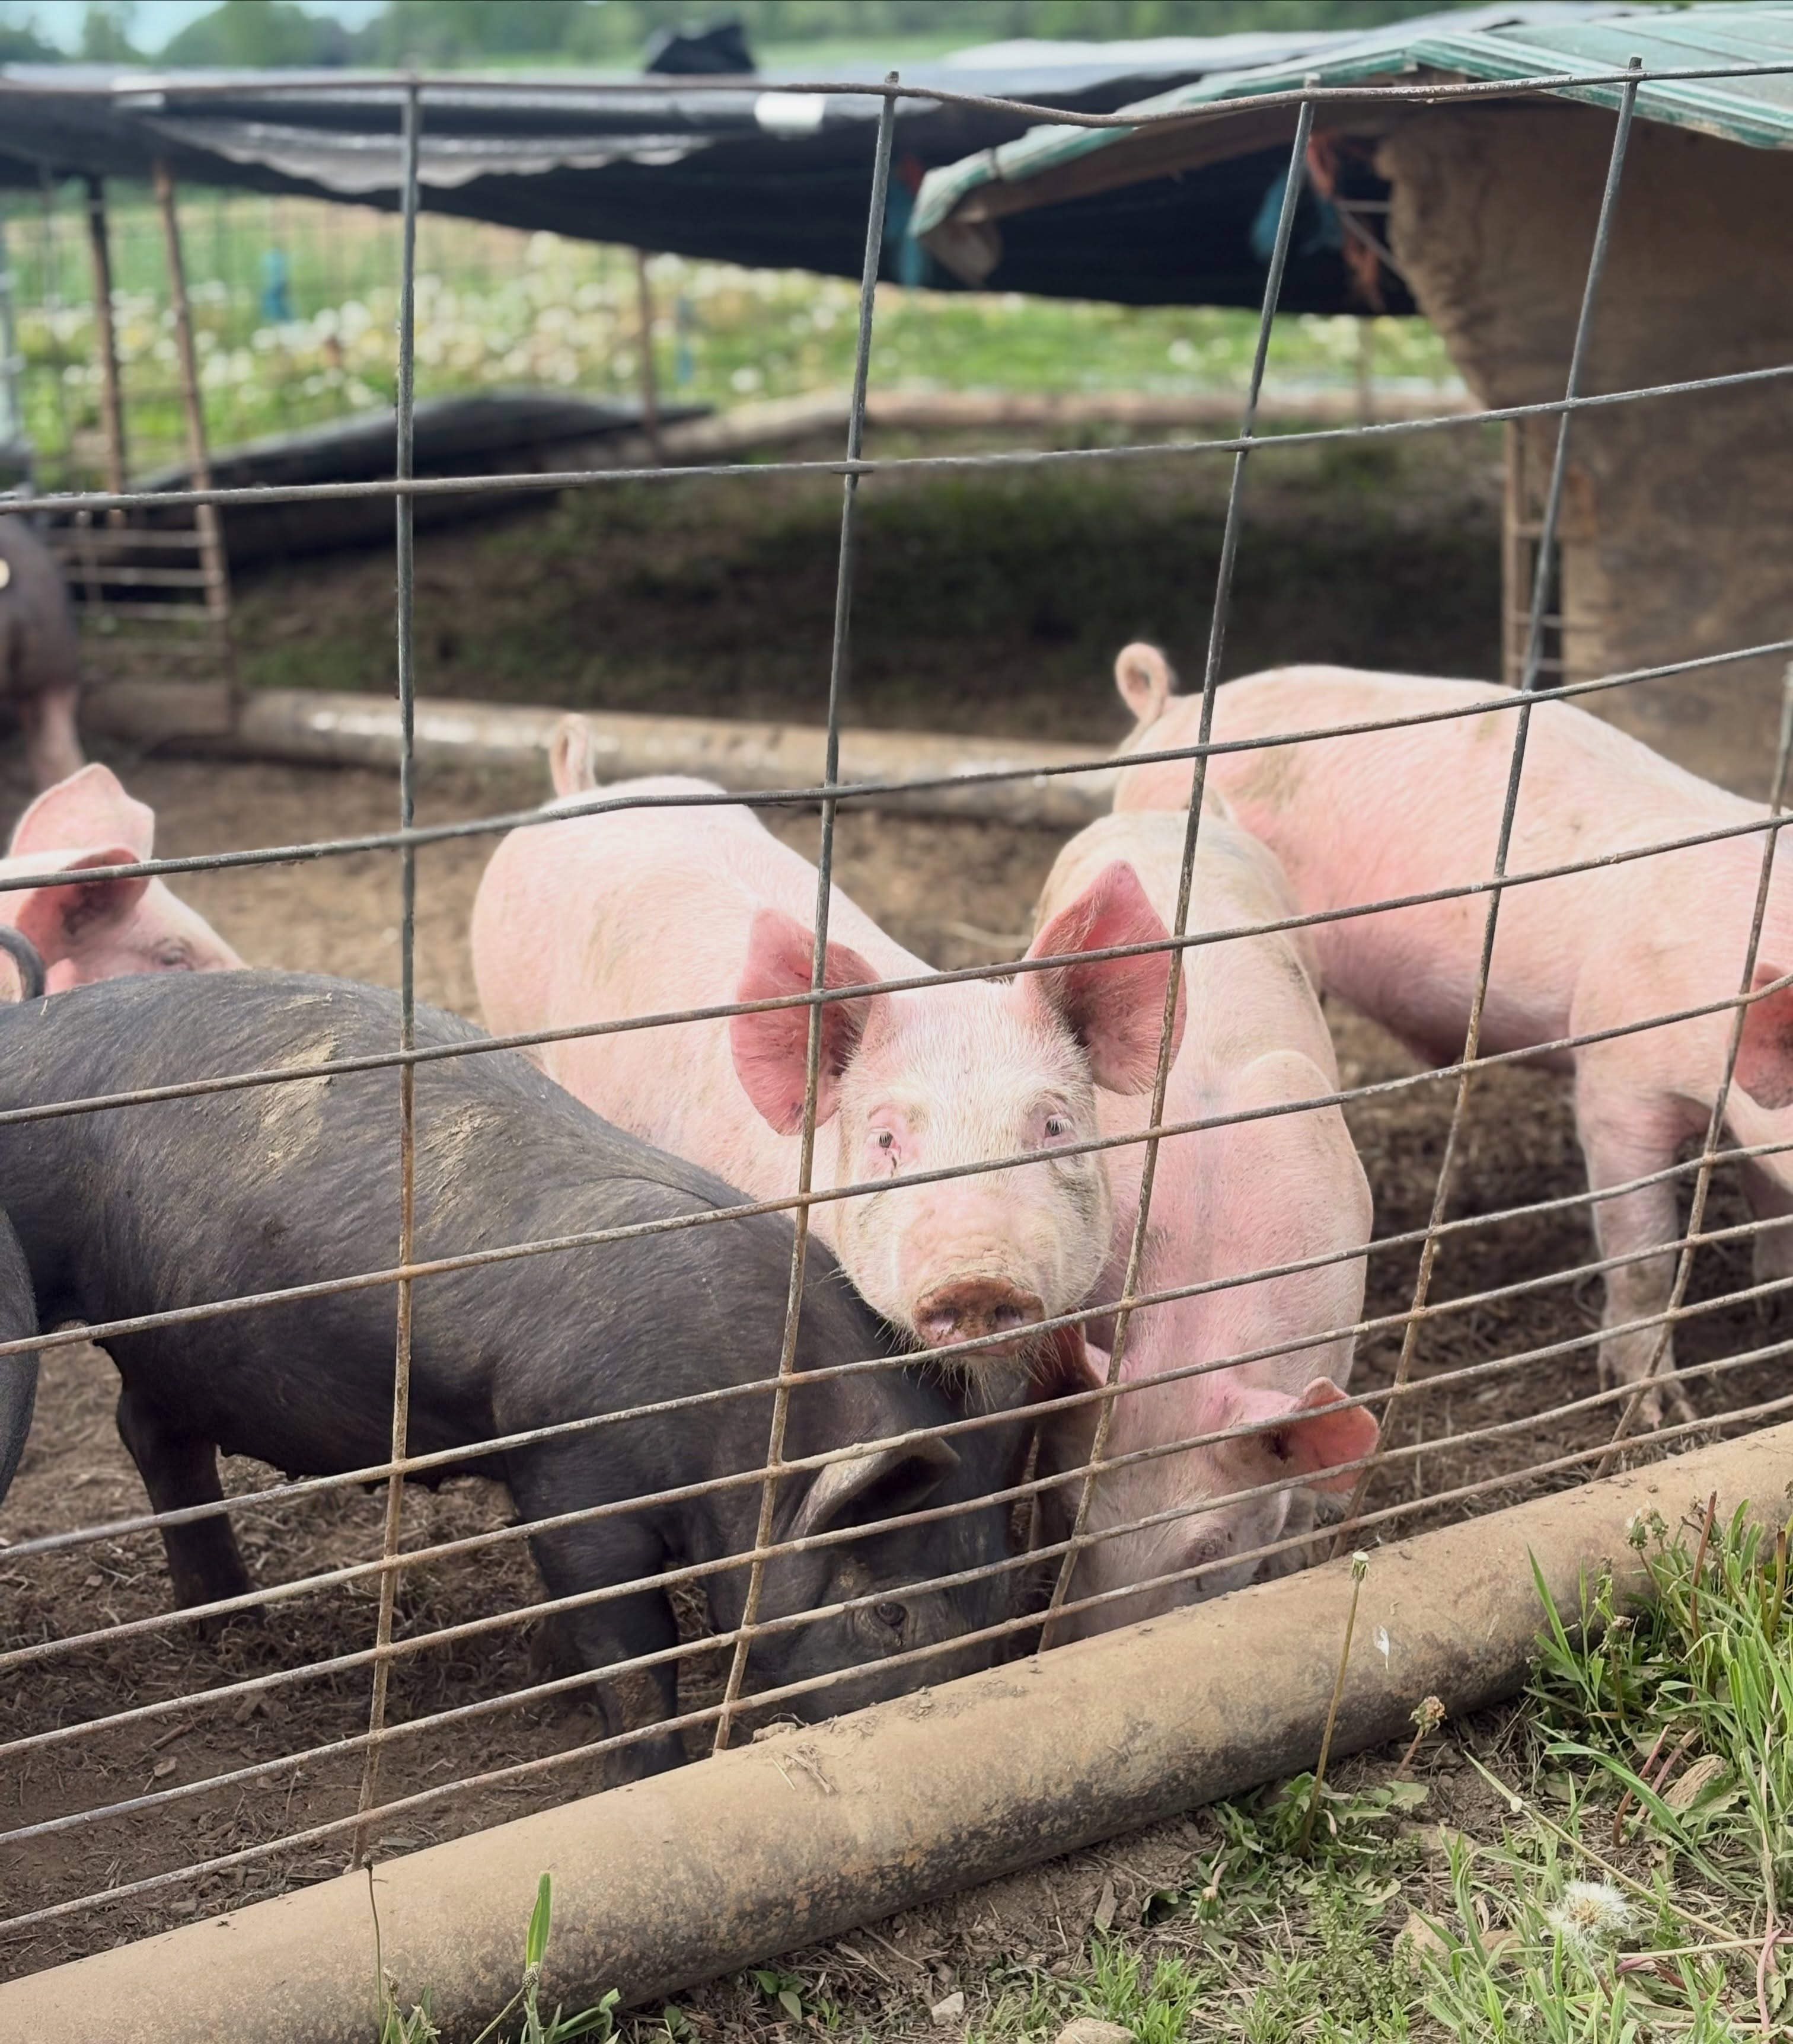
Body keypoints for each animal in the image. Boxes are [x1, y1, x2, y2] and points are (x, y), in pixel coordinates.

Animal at [0, 971, 1018, 1774]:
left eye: (995, 1600)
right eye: (893, 1614)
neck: (743, 1420)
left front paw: (547, 1682)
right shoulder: (572, 1461)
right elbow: (629, 1638)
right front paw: (633, 1759)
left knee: (152, 1430)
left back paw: (233, 1626)